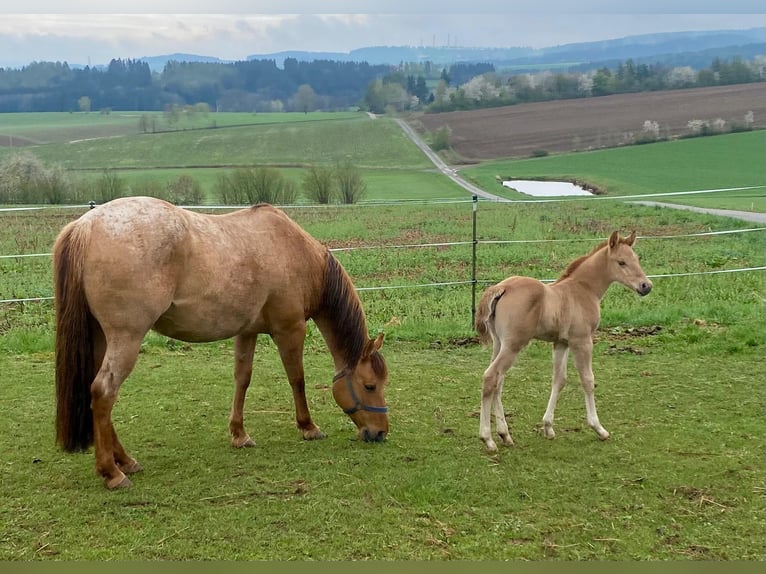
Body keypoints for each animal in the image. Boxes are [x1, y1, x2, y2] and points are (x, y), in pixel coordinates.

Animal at [53, 196, 389, 489]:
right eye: (370, 385)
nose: (380, 433)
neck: (294, 252)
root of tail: (86, 226)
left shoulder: (247, 331)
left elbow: (243, 379)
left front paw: (239, 434)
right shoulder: (290, 330)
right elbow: (297, 379)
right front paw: (308, 427)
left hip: (100, 338)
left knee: (96, 392)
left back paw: (124, 460)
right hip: (127, 338)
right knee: (104, 391)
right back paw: (112, 472)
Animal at [474, 231, 652, 452]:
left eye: (636, 259)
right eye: (621, 262)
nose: (646, 286)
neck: (583, 289)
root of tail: (502, 287)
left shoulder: (561, 343)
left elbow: (559, 380)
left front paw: (548, 427)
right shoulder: (582, 341)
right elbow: (588, 380)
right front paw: (598, 428)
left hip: (499, 343)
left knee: (498, 381)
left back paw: (505, 434)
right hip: (514, 345)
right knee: (491, 377)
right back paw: (488, 439)